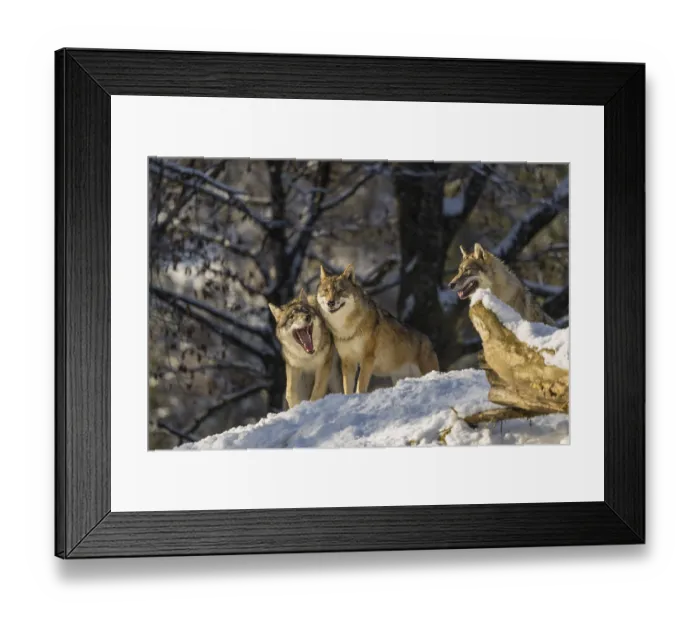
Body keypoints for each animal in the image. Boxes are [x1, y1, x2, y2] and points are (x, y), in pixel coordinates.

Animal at [316, 264, 439, 394]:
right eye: (326, 290)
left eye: (340, 290)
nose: (330, 302)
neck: (347, 329)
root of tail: (428, 340)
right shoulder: (348, 361)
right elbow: (347, 388)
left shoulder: (367, 359)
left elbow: (360, 385)